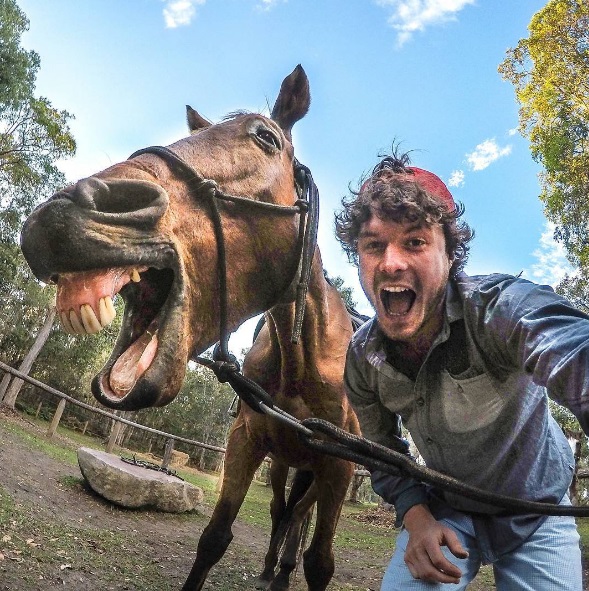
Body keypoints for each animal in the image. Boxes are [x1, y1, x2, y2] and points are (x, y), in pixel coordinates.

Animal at [21, 66, 358, 591]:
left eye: (266, 138)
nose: (63, 211)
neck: (303, 361)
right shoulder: (245, 442)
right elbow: (215, 538)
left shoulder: (339, 469)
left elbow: (320, 562)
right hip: (284, 463)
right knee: (283, 513)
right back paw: (272, 569)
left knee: (297, 520)